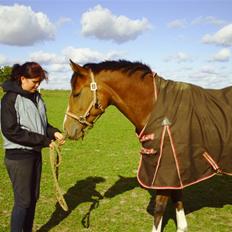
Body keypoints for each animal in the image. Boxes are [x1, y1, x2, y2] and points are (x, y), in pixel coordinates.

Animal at [63, 59, 232, 232]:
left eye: (76, 94)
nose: (67, 128)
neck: (156, 108)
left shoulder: (165, 169)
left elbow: (160, 207)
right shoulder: (176, 168)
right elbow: (177, 198)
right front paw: (182, 227)